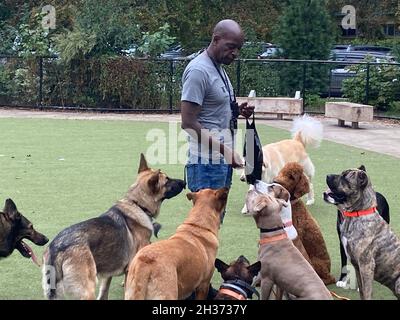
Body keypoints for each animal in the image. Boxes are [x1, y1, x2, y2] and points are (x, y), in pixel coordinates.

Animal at [324, 168, 400, 300]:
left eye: (345, 177)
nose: (327, 175)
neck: (358, 214)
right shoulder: (357, 266)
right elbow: (362, 293)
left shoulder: (366, 265)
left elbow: (367, 292)